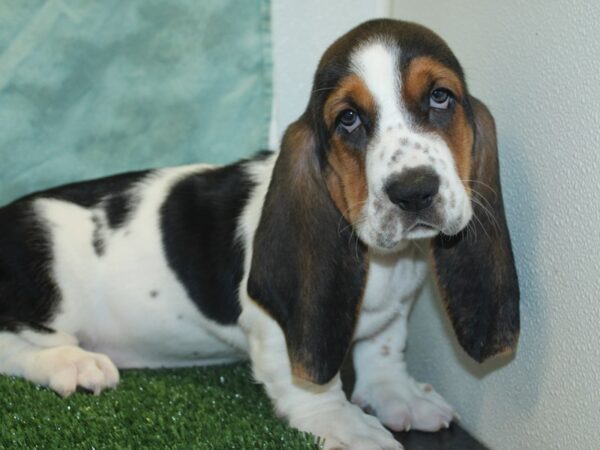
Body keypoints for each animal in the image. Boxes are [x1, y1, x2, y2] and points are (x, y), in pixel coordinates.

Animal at [0, 18, 516, 450]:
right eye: (348, 119)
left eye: (440, 97)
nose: (413, 191)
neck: (382, 261)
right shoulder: (275, 327)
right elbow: (310, 385)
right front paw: (347, 426)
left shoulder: (393, 315)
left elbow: (384, 350)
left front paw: (398, 396)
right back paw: (71, 363)